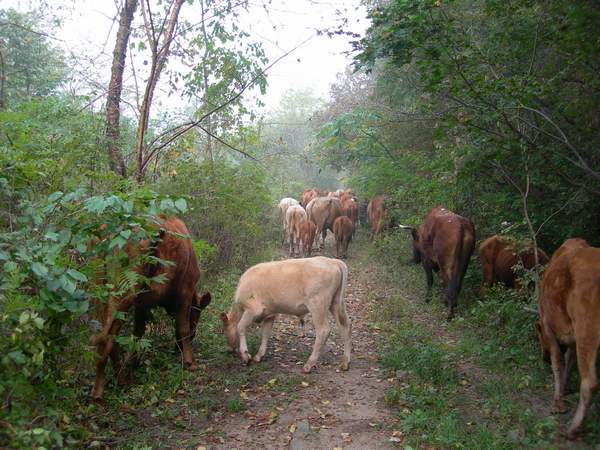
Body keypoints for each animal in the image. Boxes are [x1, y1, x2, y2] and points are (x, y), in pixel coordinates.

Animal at [90, 216, 211, 400]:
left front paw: (133, 363)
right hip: (124, 291)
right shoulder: (186, 290)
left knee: (107, 334)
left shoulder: (143, 303)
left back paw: (120, 378)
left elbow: (138, 333)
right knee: (108, 336)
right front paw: (190, 362)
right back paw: (100, 389)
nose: (194, 335)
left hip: (99, 290)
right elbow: (182, 327)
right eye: (196, 317)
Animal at [220, 257, 352, 373]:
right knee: (345, 327)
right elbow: (265, 333)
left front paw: (245, 355)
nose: (228, 350)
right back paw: (345, 363)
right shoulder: (270, 314)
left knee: (323, 330)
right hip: (336, 303)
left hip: (318, 305)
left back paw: (309, 364)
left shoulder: (252, 310)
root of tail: (333, 261)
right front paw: (259, 355)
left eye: (225, 331)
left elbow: (240, 327)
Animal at [535, 238, 600, 438]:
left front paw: (558, 401)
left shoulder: (548, 326)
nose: (544, 359)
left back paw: (573, 429)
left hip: (587, 329)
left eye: (538, 336)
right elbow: (569, 359)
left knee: (590, 383)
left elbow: (559, 362)